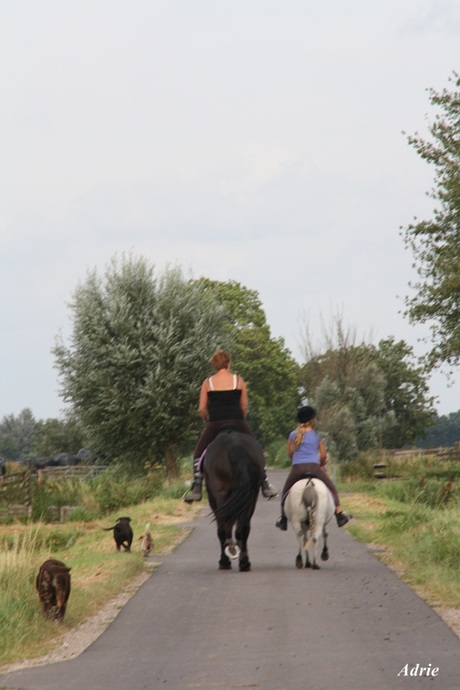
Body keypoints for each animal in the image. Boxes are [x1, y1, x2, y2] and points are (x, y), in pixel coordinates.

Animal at [203, 430, 264, 568]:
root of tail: (235, 445)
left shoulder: (214, 499)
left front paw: (224, 560)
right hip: (251, 496)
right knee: (243, 528)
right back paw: (244, 561)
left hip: (221, 494)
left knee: (224, 526)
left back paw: (226, 558)